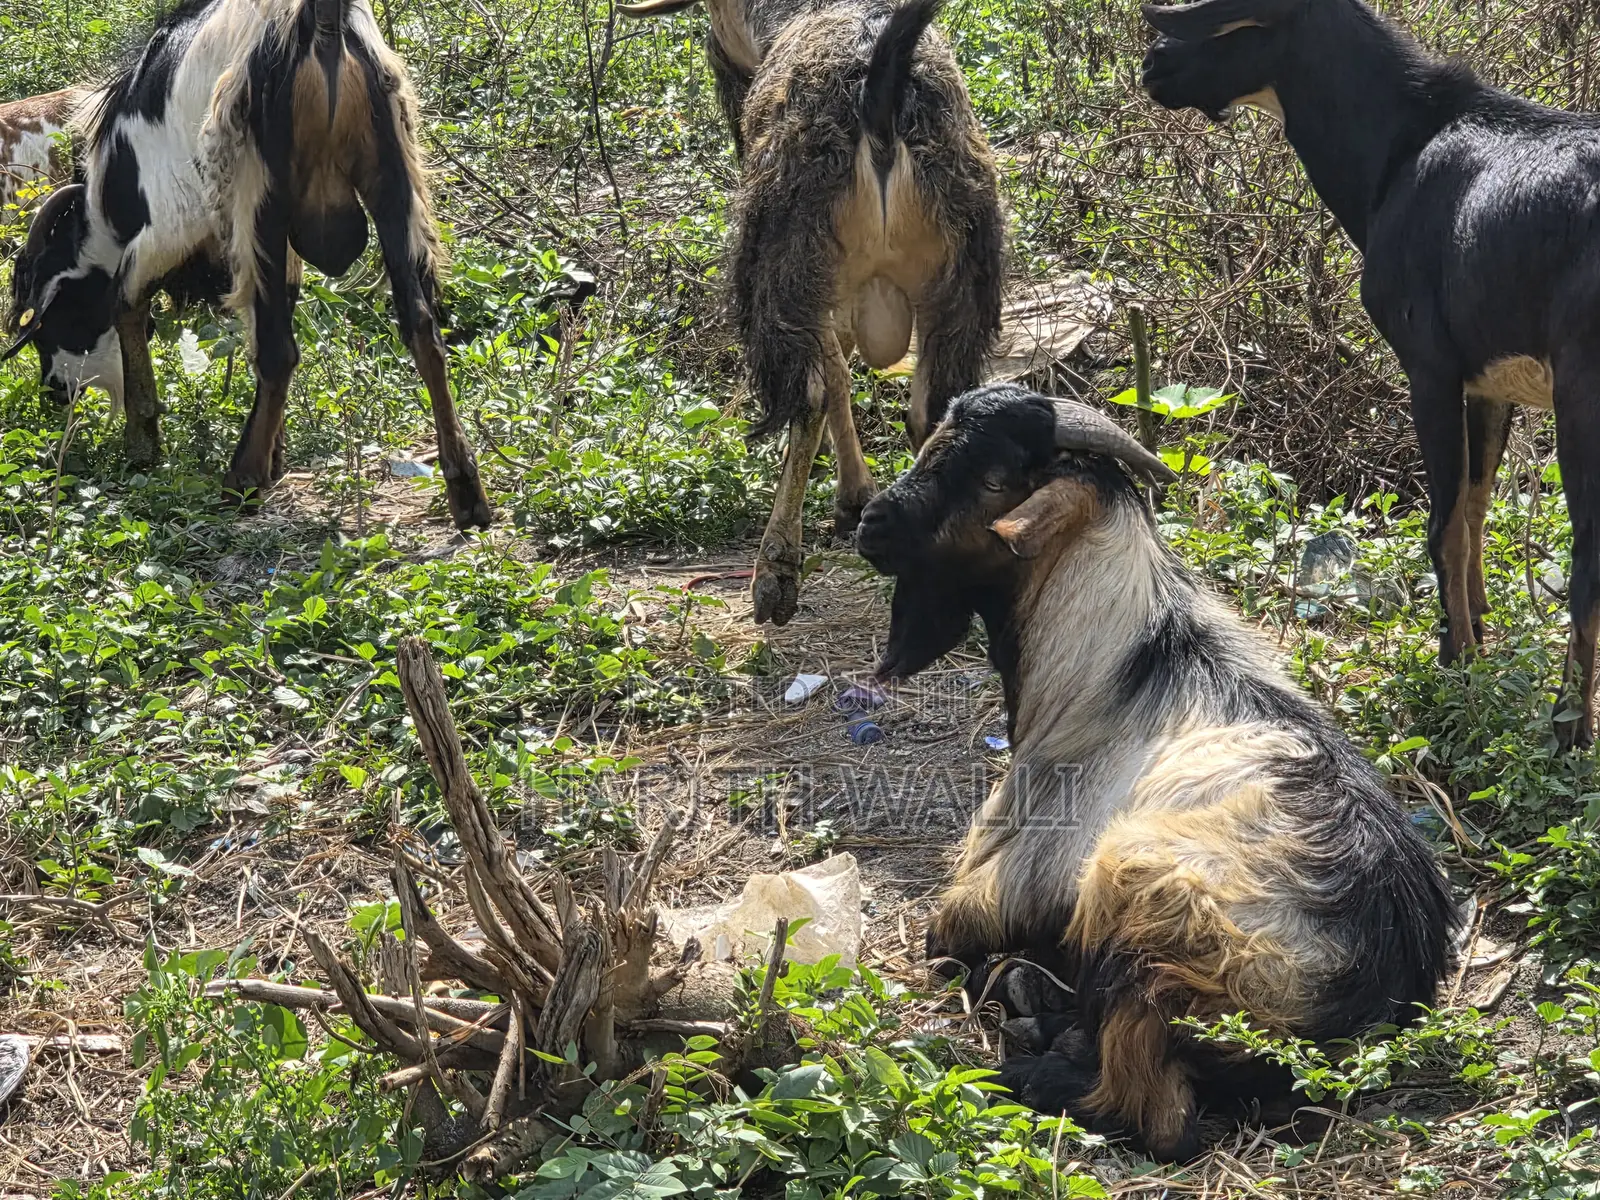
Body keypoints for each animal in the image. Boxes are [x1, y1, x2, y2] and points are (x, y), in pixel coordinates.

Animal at [3, 0, 493, 530]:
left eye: (55, 320)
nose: (55, 391)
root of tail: (319, 24)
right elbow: (275, 309)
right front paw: (275, 451)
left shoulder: (166, 229)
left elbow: (127, 306)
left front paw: (142, 445)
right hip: (389, 174)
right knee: (421, 328)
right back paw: (466, 491)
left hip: (257, 191)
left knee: (279, 352)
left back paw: (241, 481)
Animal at [620, 0, 1003, 625]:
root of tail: (880, 108)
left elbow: (836, 380)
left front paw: (851, 495)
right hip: (960, 274)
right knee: (934, 404)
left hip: (793, 262)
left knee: (813, 390)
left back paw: (775, 572)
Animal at [854, 382, 1458, 1160]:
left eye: (991, 479)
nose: (870, 522)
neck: (1114, 668)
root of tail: (1365, 985)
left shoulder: (1012, 882)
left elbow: (947, 935)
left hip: (1138, 893)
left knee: (1155, 1114)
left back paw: (1030, 1060)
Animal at [1140, 0, 1600, 751]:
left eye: (1240, 23)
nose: (1154, 66)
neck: (1399, 151)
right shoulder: (1488, 380)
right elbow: (1476, 506)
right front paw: (1481, 635)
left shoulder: (1429, 364)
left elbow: (1443, 523)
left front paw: (1453, 665)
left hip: (1582, 388)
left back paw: (1569, 729)